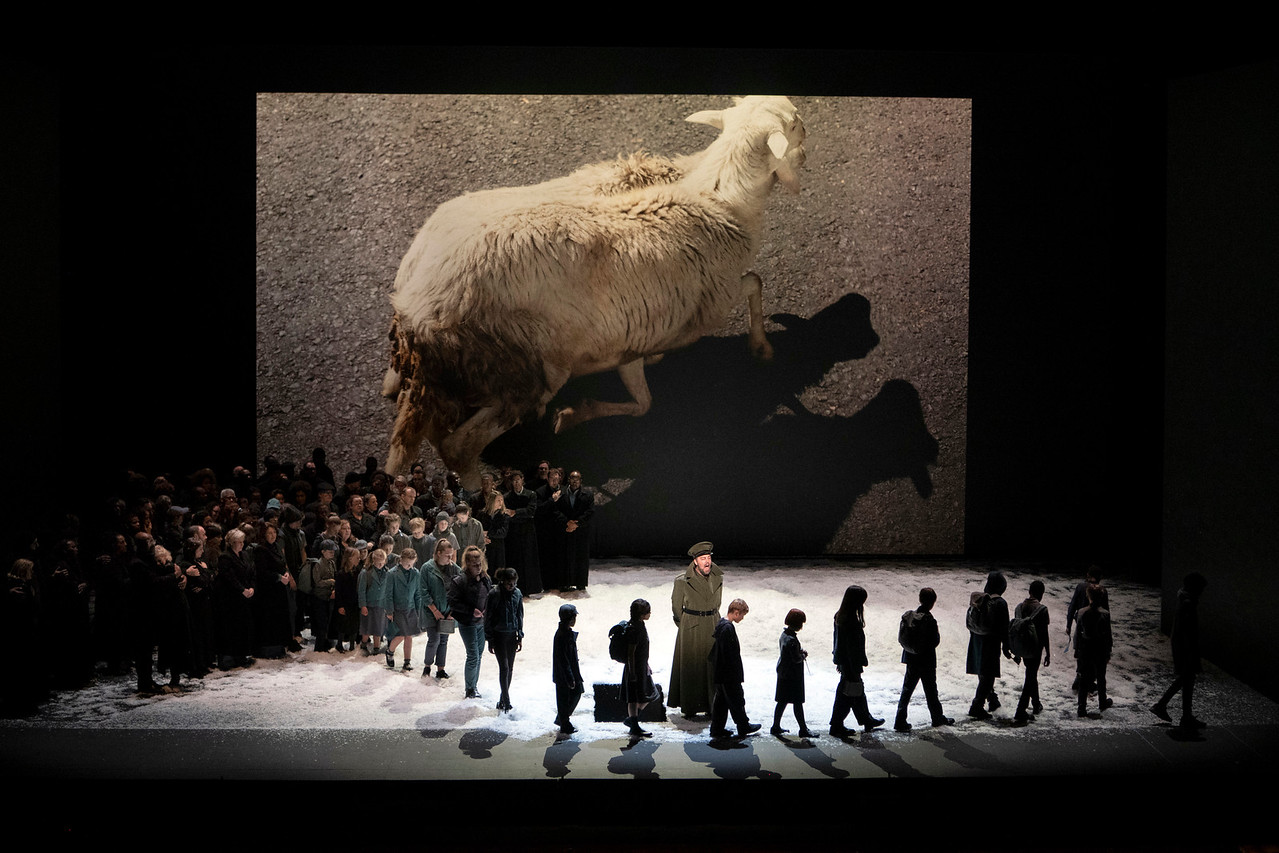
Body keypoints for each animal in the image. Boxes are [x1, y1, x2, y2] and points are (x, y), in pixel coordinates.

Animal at [378, 93, 803, 485]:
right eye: (796, 122)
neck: (714, 197)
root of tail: (417, 307)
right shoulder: (707, 303)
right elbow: (753, 283)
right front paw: (762, 347)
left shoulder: (632, 336)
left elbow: (642, 398)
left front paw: (580, 411)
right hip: (527, 371)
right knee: (458, 446)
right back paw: (481, 496)